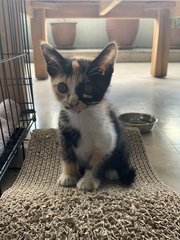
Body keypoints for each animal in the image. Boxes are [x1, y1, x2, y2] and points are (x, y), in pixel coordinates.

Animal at [41, 41, 135, 191]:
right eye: (62, 87)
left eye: (87, 88)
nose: (72, 102)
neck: (82, 116)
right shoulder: (64, 134)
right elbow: (67, 155)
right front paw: (69, 175)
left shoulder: (106, 139)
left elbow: (96, 161)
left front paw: (88, 180)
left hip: (122, 142)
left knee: (120, 158)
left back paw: (112, 171)